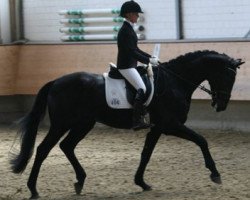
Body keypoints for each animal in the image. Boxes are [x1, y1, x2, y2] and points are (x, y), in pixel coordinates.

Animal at [10, 50, 244, 198]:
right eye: (227, 77)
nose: (221, 105)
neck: (174, 82)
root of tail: (55, 82)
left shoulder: (158, 128)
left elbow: (146, 154)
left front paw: (141, 182)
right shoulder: (171, 125)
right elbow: (201, 140)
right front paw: (215, 174)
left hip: (83, 124)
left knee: (66, 146)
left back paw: (80, 180)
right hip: (62, 124)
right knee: (43, 149)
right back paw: (33, 189)